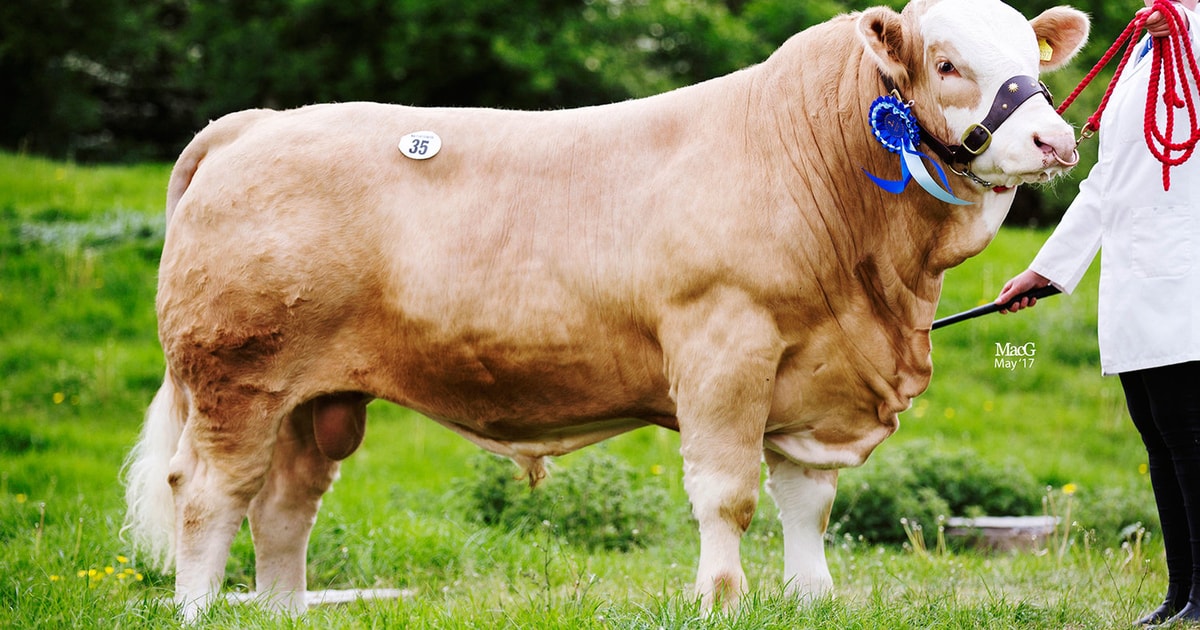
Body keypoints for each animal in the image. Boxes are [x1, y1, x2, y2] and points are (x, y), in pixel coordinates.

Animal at [122, 0, 1089, 619]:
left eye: (1034, 59)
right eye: (949, 63)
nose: (1054, 138)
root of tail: (255, 123)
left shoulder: (819, 374)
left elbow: (807, 501)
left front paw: (813, 597)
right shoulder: (724, 347)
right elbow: (727, 494)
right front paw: (722, 599)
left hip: (314, 396)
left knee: (285, 503)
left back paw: (283, 610)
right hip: (237, 381)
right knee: (209, 493)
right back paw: (201, 610)